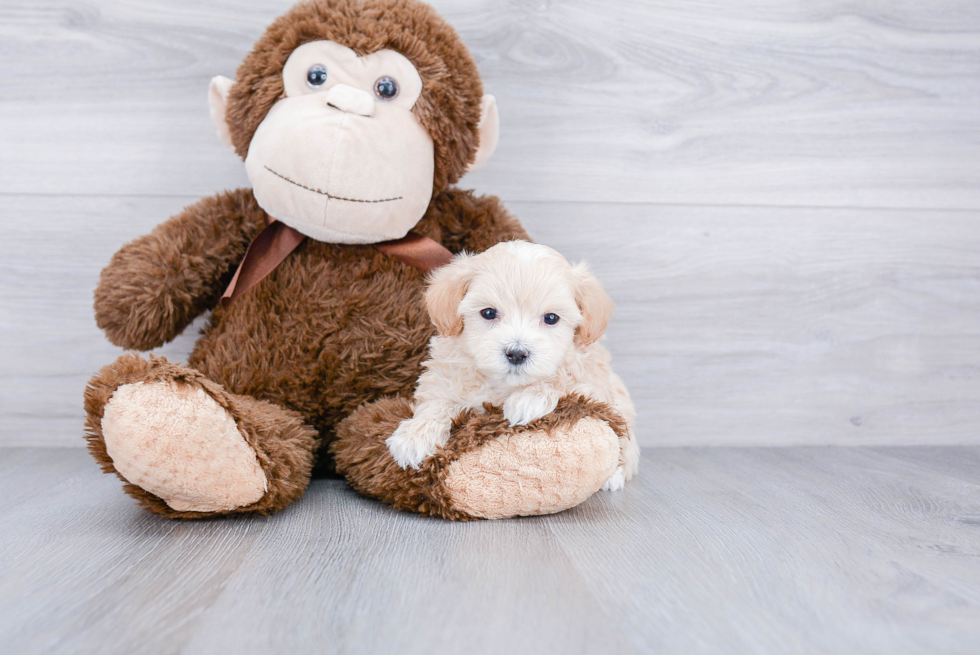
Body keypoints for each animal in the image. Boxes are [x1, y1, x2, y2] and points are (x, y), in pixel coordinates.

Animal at [386, 238, 640, 490]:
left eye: (551, 318)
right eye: (489, 313)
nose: (517, 353)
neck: (503, 384)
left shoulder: (592, 380)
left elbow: (564, 381)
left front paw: (530, 399)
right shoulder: (444, 379)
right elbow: (437, 402)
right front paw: (415, 435)